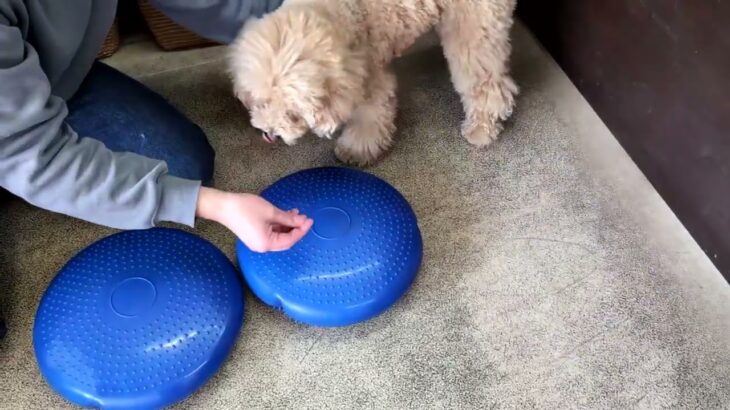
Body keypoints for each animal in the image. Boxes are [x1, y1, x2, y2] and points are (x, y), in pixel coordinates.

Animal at [228, 0, 516, 165]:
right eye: (261, 102)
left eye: (293, 114)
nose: (268, 133)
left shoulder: (368, 75)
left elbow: (369, 117)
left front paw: (356, 150)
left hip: (473, 28)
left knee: (487, 83)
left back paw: (481, 128)